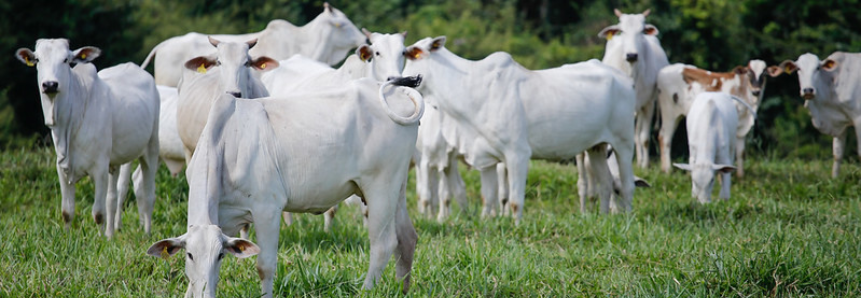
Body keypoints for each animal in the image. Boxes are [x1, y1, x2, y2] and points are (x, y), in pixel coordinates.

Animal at [15, 40, 160, 240]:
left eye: (66, 60)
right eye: (37, 60)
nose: (50, 84)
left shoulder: (99, 168)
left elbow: (98, 213)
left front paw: (100, 241)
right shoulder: (62, 168)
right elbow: (67, 212)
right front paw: (68, 239)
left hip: (150, 150)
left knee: (148, 194)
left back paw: (146, 233)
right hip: (115, 162)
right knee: (113, 197)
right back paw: (111, 234)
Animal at [146, 77, 424, 298]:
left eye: (220, 256)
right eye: (190, 255)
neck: (225, 142)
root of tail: (396, 91)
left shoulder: (267, 209)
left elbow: (265, 265)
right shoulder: (225, 218)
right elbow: (193, 281)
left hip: (380, 186)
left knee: (383, 244)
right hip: (396, 186)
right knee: (406, 237)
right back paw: (403, 289)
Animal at [400, 36, 636, 220]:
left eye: (414, 55)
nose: (399, 81)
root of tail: (625, 79)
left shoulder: (517, 154)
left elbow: (514, 201)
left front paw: (516, 224)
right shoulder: (485, 158)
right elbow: (488, 198)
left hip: (623, 143)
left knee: (626, 185)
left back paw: (627, 219)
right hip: (596, 147)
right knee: (606, 184)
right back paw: (603, 218)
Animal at [596, 8, 664, 169]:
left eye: (642, 31)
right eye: (622, 31)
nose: (632, 55)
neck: (632, 73)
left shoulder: (648, 104)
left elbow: (644, 138)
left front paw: (645, 165)